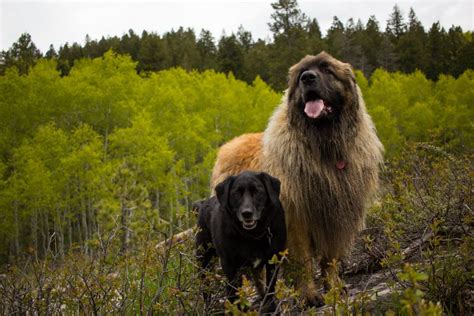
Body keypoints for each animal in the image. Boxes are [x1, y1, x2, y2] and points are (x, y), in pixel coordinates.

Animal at [195, 170, 286, 312]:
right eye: (236, 193)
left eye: (257, 191)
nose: (247, 213)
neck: (252, 235)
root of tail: (203, 204)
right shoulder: (229, 265)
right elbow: (234, 293)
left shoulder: (273, 260)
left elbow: (270, 288)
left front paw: (270, 308)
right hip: (203, 260)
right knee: (206, 287)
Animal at [211, 52, 386, 306]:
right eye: (302, 72)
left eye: (327, 69)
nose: (308, 78)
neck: (324, 147)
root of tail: (227, 146)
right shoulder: (295, 219)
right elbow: (302, 259)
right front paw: (309, 295)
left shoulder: (335, 217)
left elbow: (330, 258)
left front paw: (333, 287)